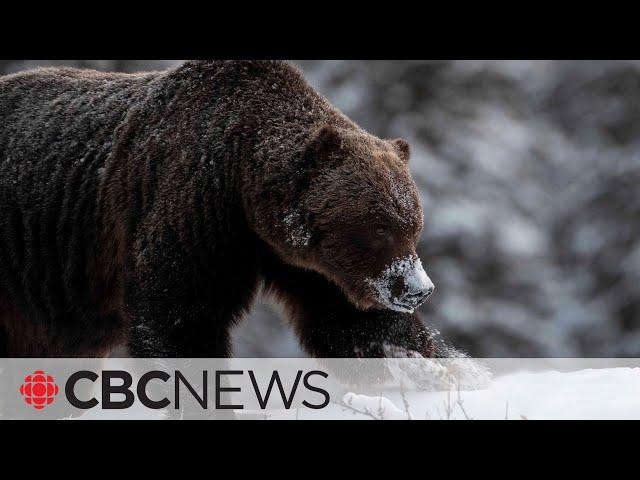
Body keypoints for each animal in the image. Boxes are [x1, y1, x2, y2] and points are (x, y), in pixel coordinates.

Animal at [0, 60, 450, 358]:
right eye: (380, 229)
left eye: (414, 227)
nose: (419, 289)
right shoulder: (193, 208)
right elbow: (180, 316)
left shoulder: (301, 262)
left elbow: (354, 325)